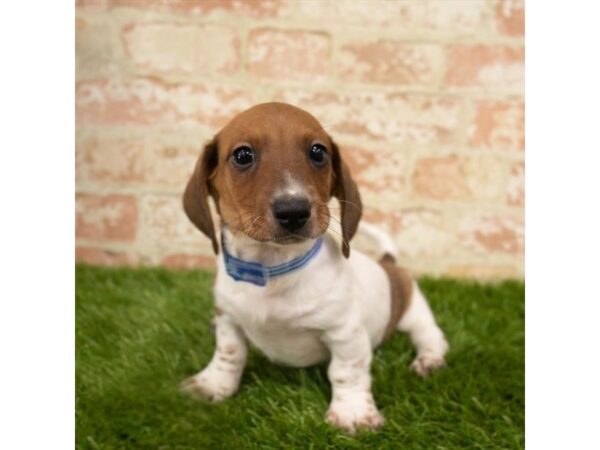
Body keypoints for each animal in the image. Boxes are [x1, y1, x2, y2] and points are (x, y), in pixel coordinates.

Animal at [180, 101, 448, 432]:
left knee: (430, 335)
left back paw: (428, 360)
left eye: (318, 152)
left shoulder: (345, 333)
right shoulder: (228, 318)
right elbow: (229, 354)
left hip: (413, 309)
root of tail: (387, 263)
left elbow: (346, 372)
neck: (271, 269)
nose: (293, 210)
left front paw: (352, 413)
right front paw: (213, 385)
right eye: (243, 155)